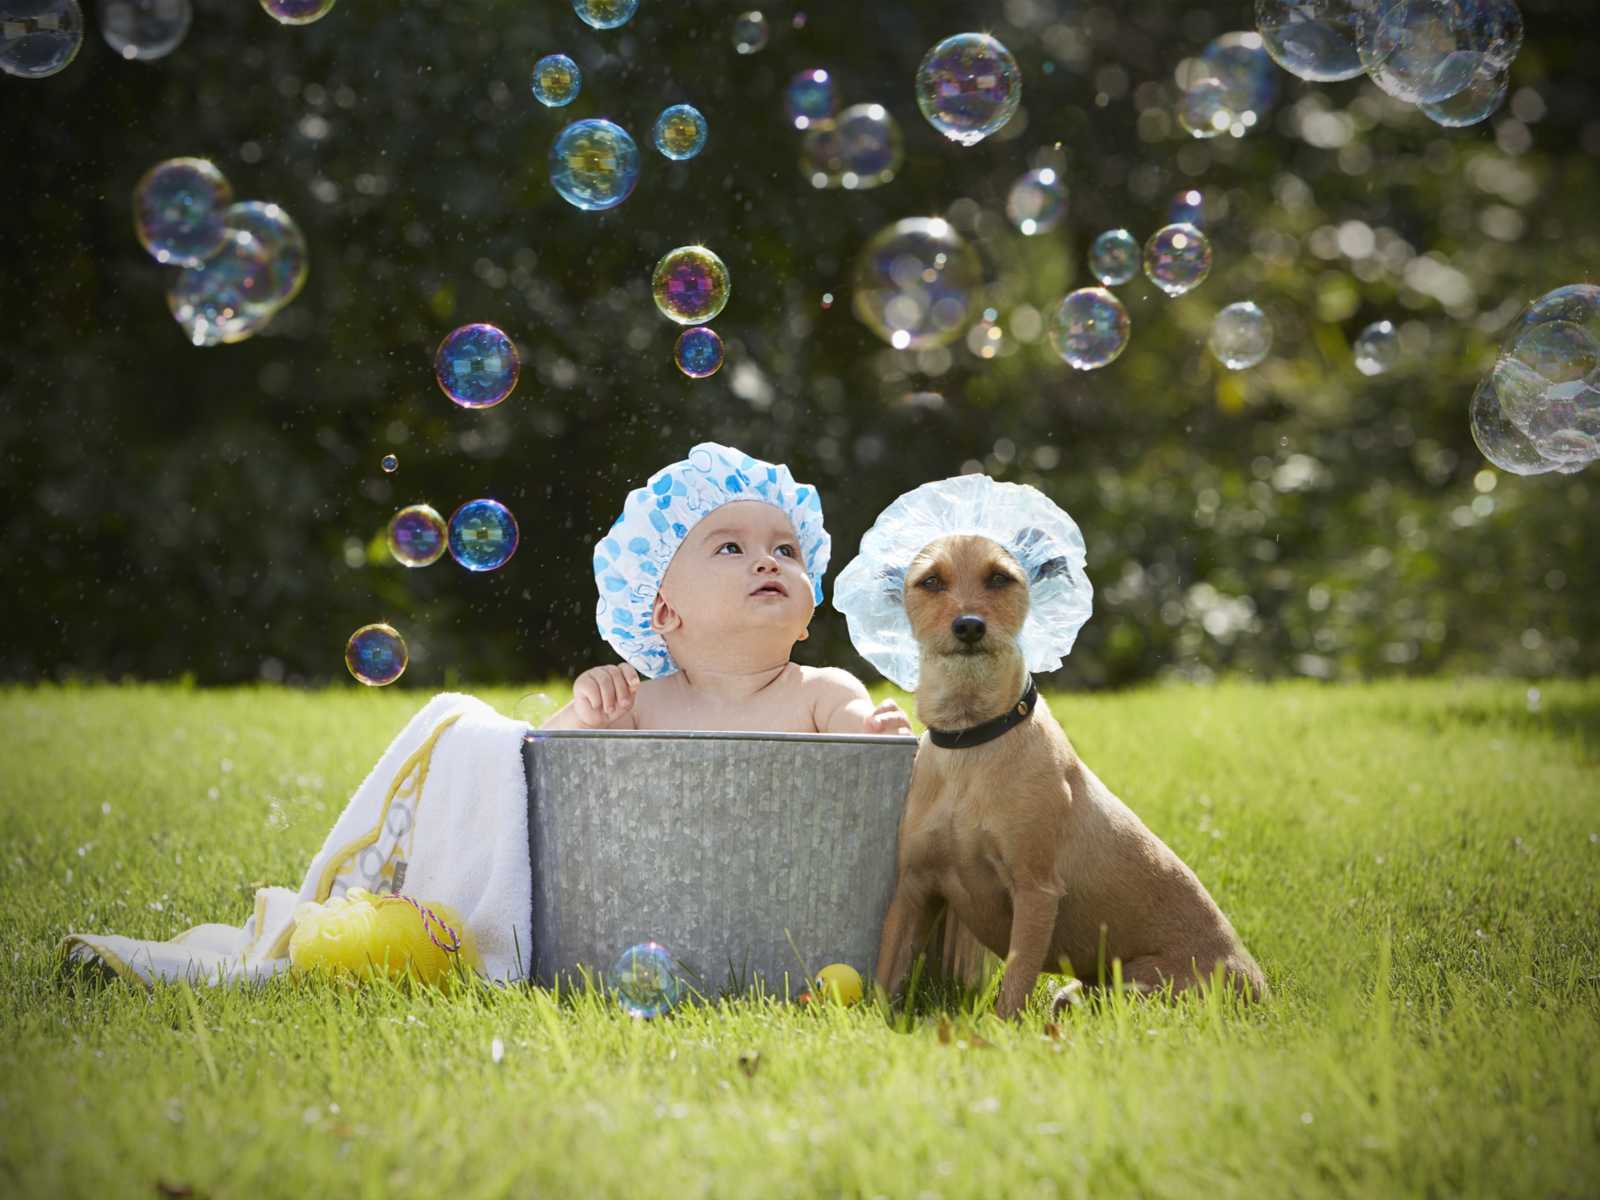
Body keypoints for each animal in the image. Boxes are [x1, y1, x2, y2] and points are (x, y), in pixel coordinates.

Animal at [870, 540, 1267, 1017]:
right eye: (931, 581)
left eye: (1000, 577)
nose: (968, 626)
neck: (972, 741)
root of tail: (1262, 987)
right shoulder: (914, 887)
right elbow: (887, 969)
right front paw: (870, 1020)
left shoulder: (1035, 890)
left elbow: (1016, 981)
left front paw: (1000, 1029)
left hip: (1138, 985)